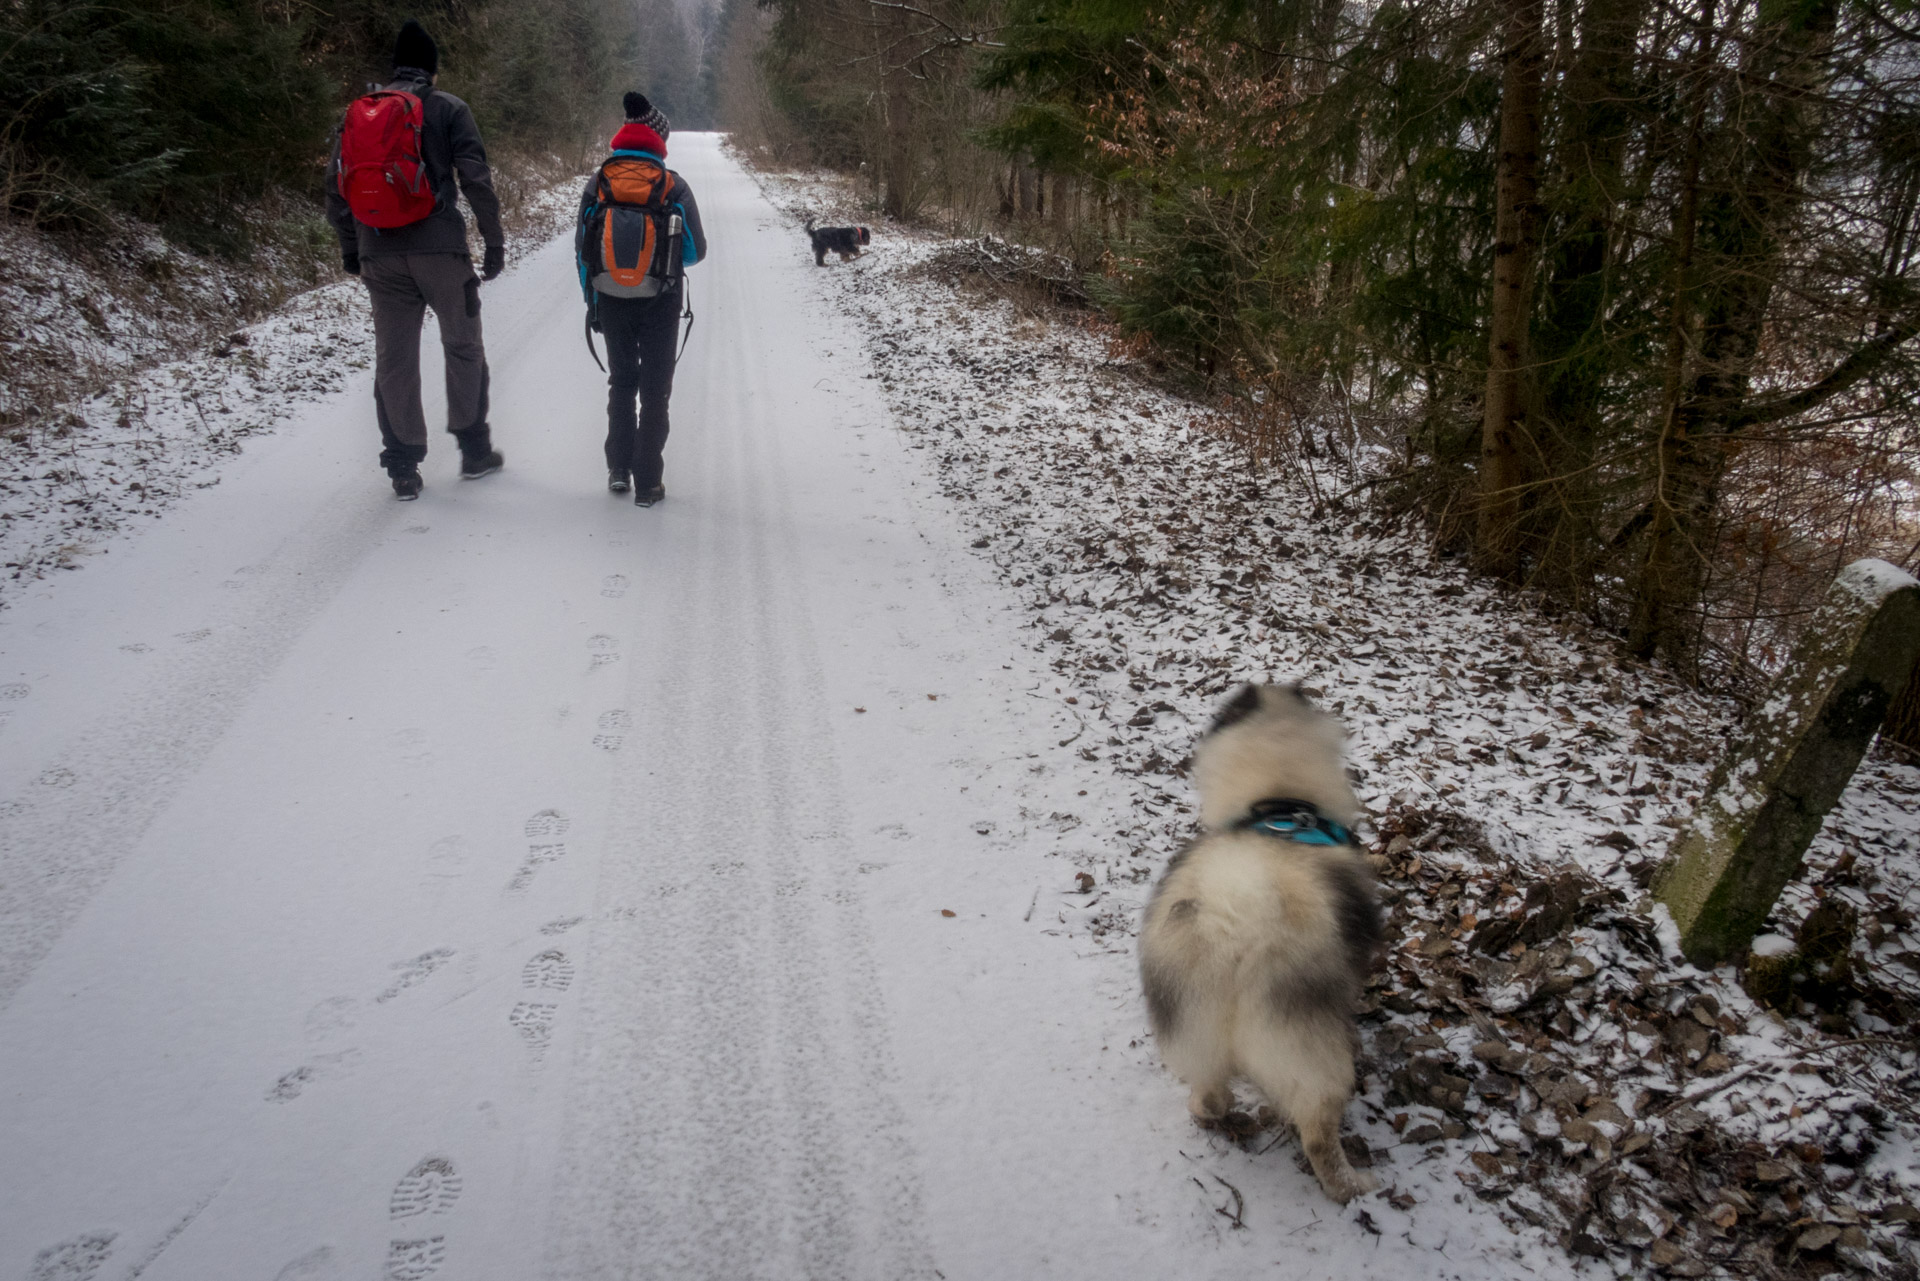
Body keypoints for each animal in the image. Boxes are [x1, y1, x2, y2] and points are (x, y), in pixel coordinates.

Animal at [1136, 687, 1382, 1206]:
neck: (1278, 801)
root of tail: (1230, 922)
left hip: (1194, 1023)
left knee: (1208, 1092)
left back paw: (1215, 1108)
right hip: (1308, 1049)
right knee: (1318, 1133)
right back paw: (1353, 1186)